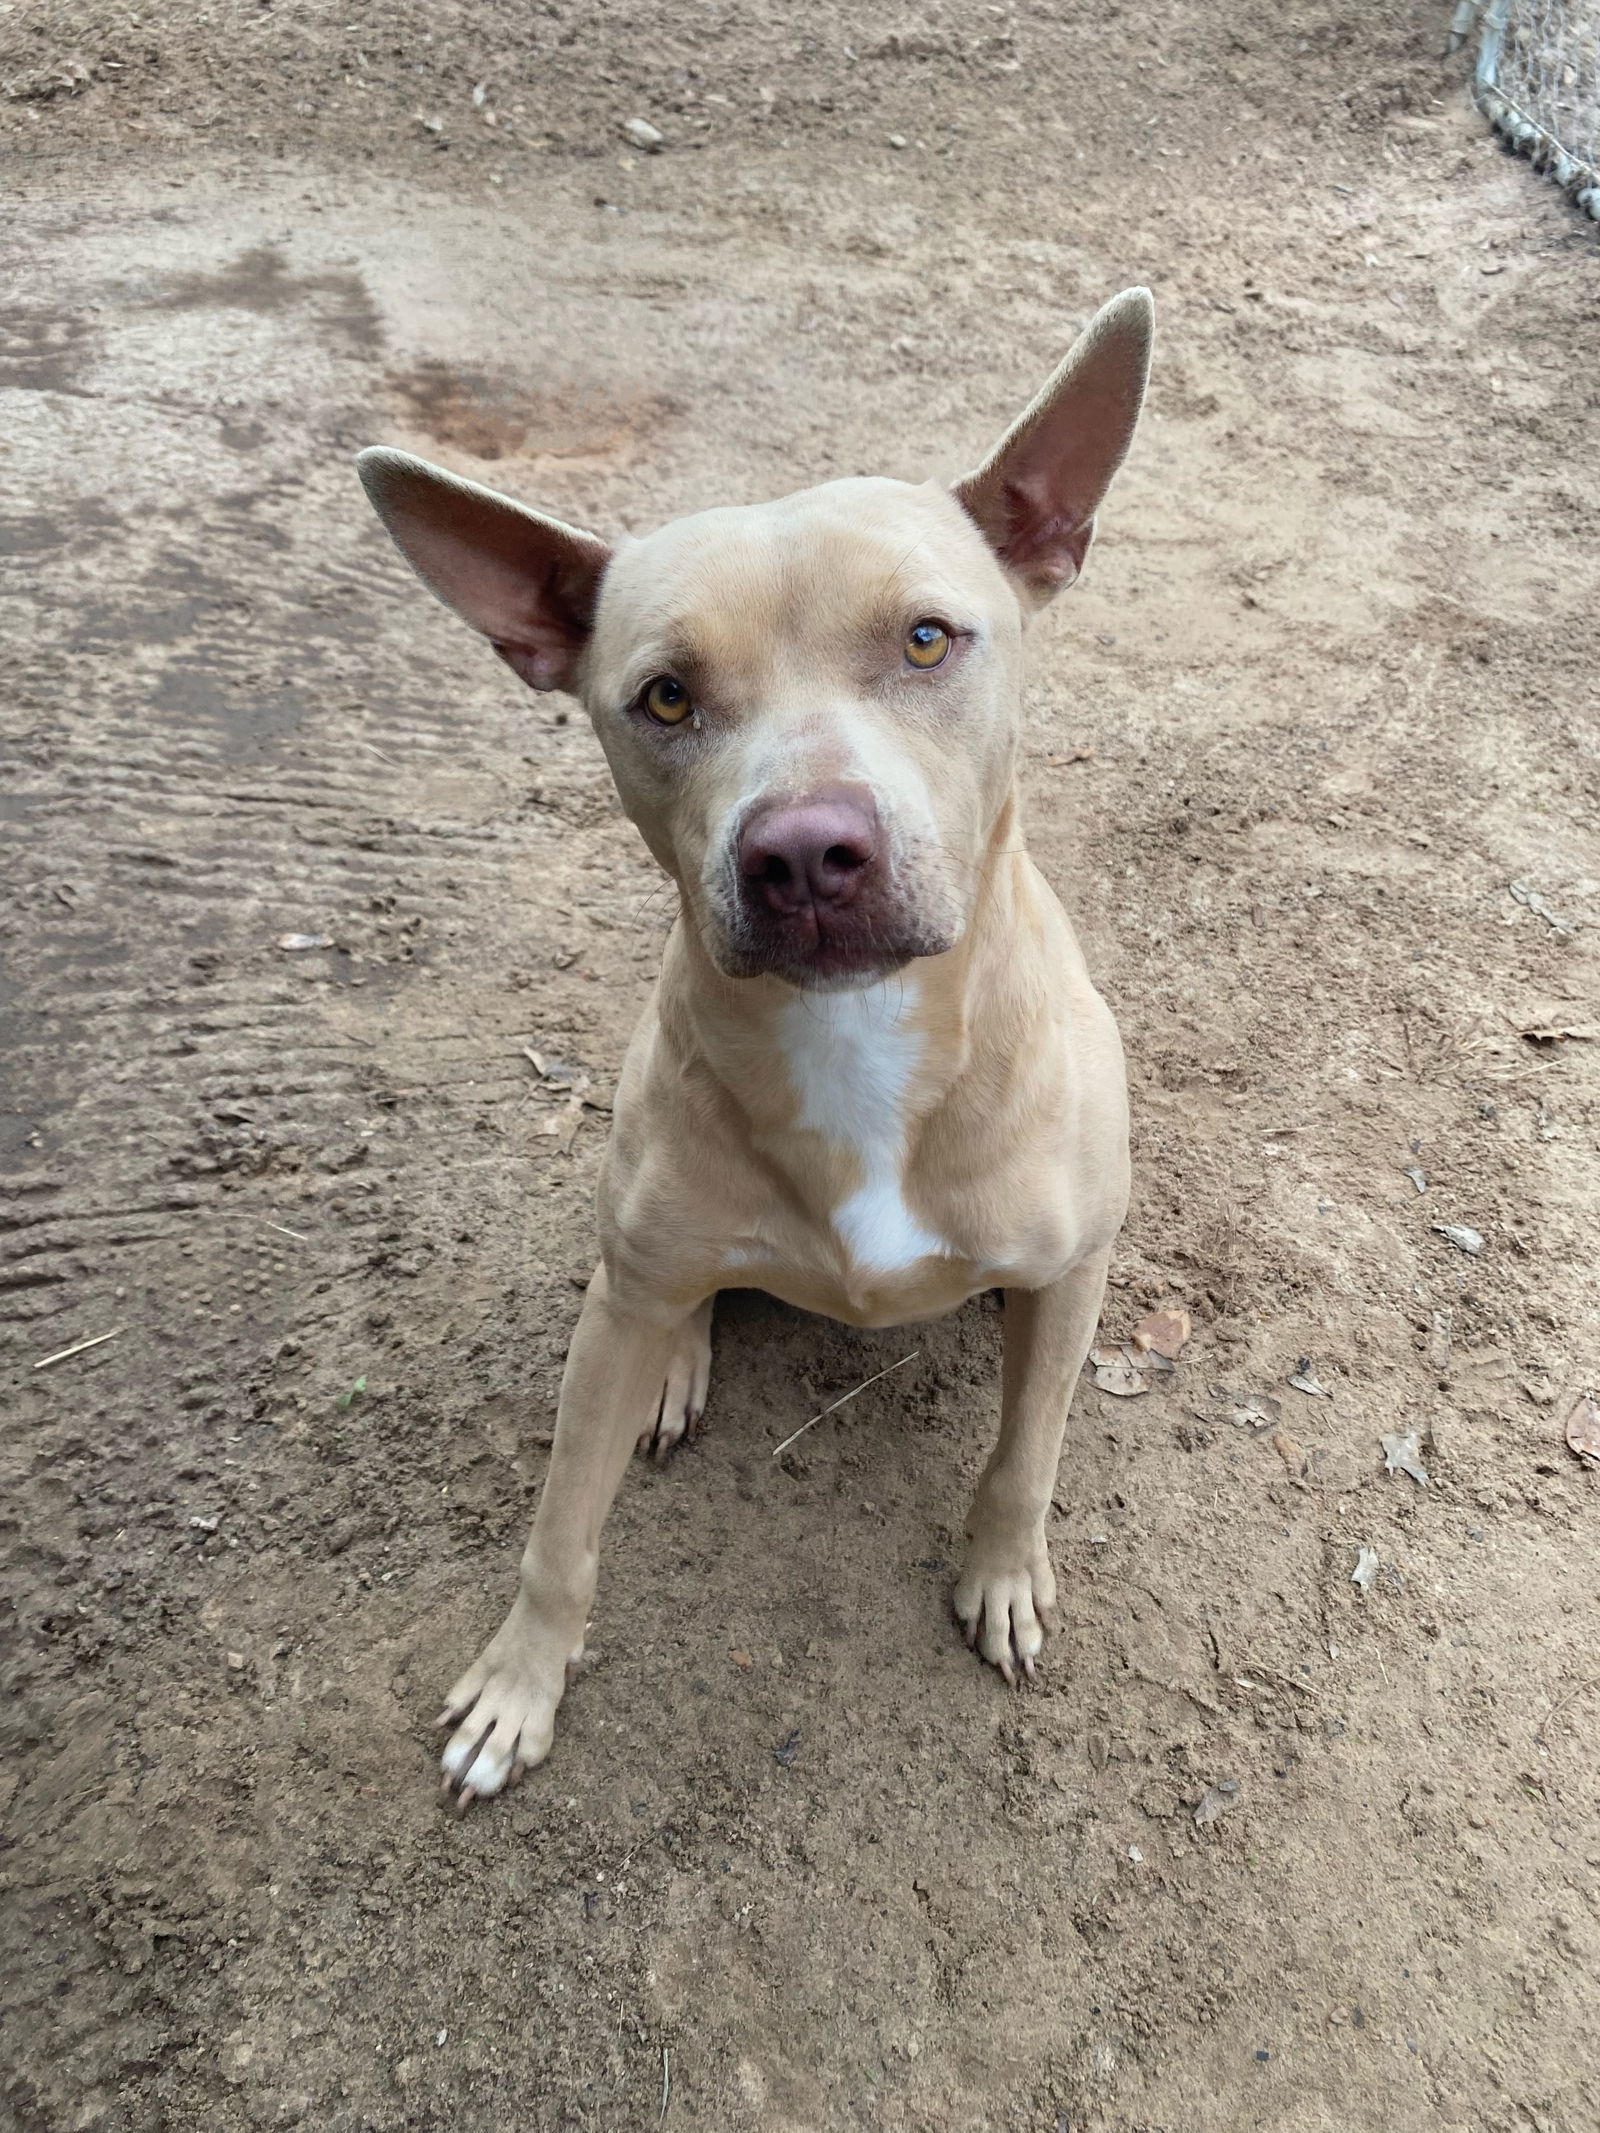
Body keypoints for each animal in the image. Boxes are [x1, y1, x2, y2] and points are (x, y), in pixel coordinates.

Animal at [356, 292, 1152, 1808]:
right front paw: (519, 1685)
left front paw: (1002, 1577)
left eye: (926, 640)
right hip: (634, 1258)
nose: (803, 853)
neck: (856, 1040)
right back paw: (675, 1361)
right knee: (665, 1296)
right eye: (664, 698)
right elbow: (559, 1529)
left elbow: (1025, 1451)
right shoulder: (609, 1326)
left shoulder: (1071, 1268)